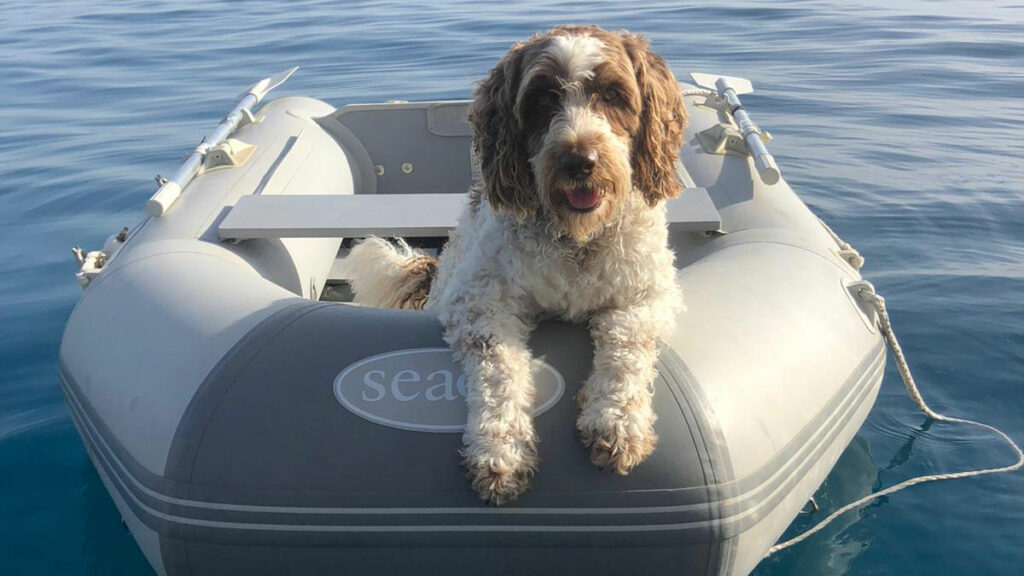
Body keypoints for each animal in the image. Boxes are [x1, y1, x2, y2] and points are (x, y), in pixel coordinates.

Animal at [344, 25, 688, 502]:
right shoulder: (478, 304)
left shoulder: (649, 294)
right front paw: (500, 451)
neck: (576, 240)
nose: (580, 161)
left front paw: (616, 422)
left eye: (614, 94)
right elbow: (500, 372)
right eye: (542, 100)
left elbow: (628, 346)